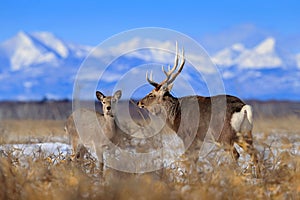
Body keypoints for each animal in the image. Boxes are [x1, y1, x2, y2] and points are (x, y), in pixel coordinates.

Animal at [137, 43, 258, 175]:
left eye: (151, 94)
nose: (139, 102)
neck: (175, 116)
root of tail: (243, 107)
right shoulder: (198, 140)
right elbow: (195, 159)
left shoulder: (188, 136)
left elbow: (191, 159)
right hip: (245, 134)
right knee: (254, 154)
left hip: (223, 135)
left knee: (236, 155)